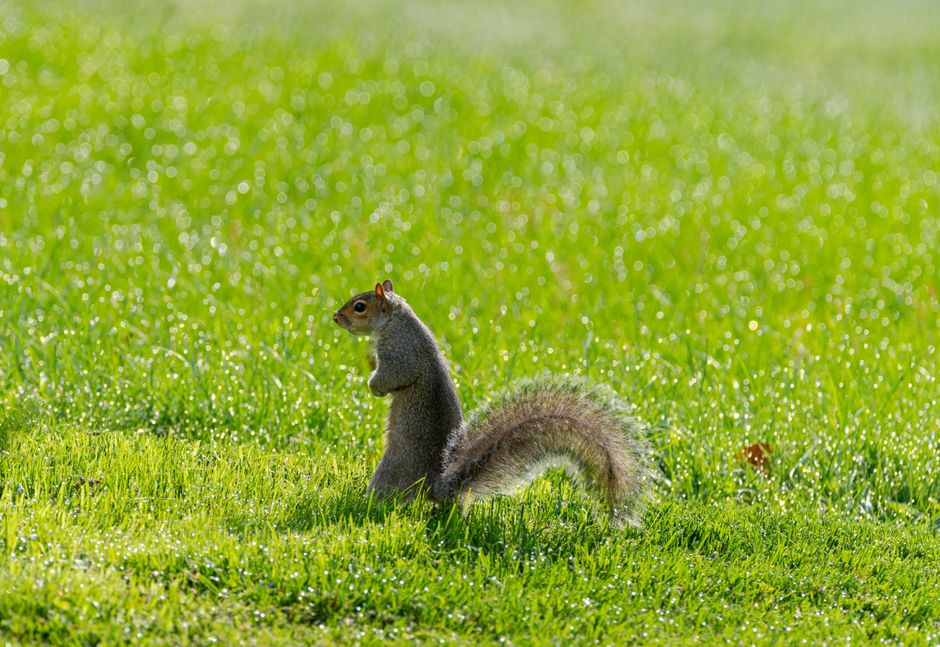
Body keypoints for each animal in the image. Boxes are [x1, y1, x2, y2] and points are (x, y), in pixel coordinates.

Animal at [333, 279, 652, 526]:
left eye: (359, 306)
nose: (335, 318)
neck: (396, 319)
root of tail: (439, 487)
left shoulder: (400, 353)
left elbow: (394, 376)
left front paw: (374, 387)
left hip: (393, 470)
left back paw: (364, 505)